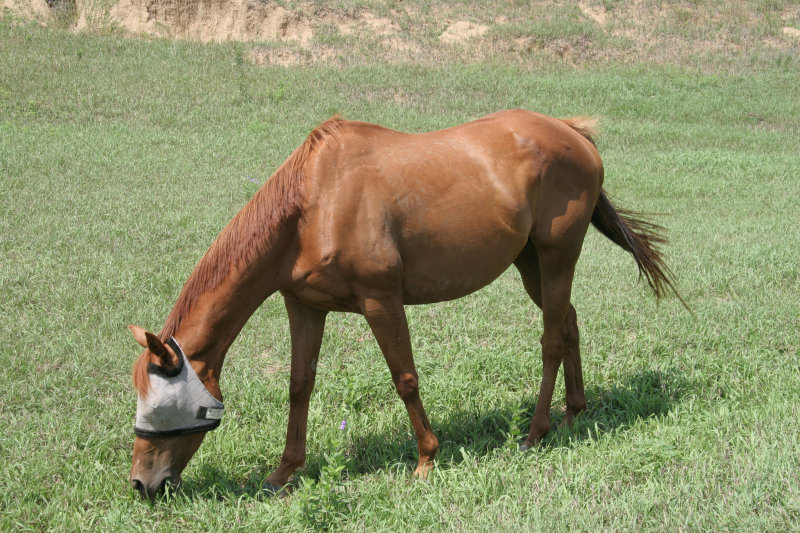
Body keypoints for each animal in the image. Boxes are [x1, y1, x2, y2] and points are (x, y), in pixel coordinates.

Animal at [126, 109, 680, 498]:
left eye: (161, 408)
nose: (141, 485)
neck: (313, 205)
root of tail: (571, 132)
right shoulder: (304, 306)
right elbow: (299, 386)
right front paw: (284, 472)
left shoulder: (381, 300)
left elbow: (405, 378)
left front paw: (427, 459)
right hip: (532, 265)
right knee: (567, 327)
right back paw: (573, 413)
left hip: (557, 255)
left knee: (549, 339)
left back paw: (536, 432)